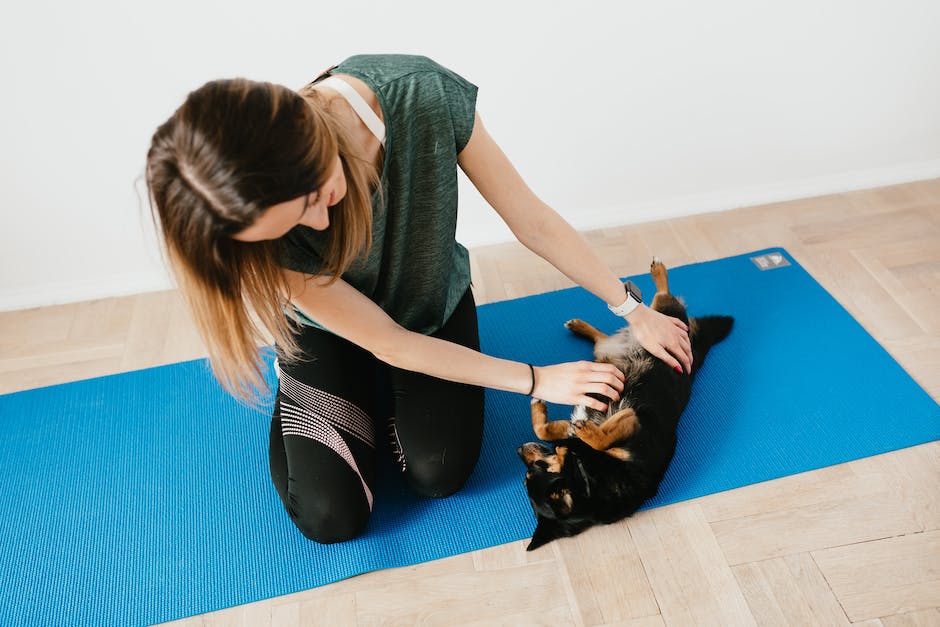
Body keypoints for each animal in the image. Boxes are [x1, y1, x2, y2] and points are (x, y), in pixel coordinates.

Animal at [516, 258, 732, 552]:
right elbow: (562, 431)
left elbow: (580, 435)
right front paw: (564, 424)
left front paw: (565, 423)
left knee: (658, 301)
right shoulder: (621, 420)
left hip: (665, 322)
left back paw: (656, 272)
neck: (586, 474)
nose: (519, 450)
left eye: (534, 469)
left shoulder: (632, 424)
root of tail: (696, 353)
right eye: (527, 473)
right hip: (619, 344)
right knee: (613, 331)